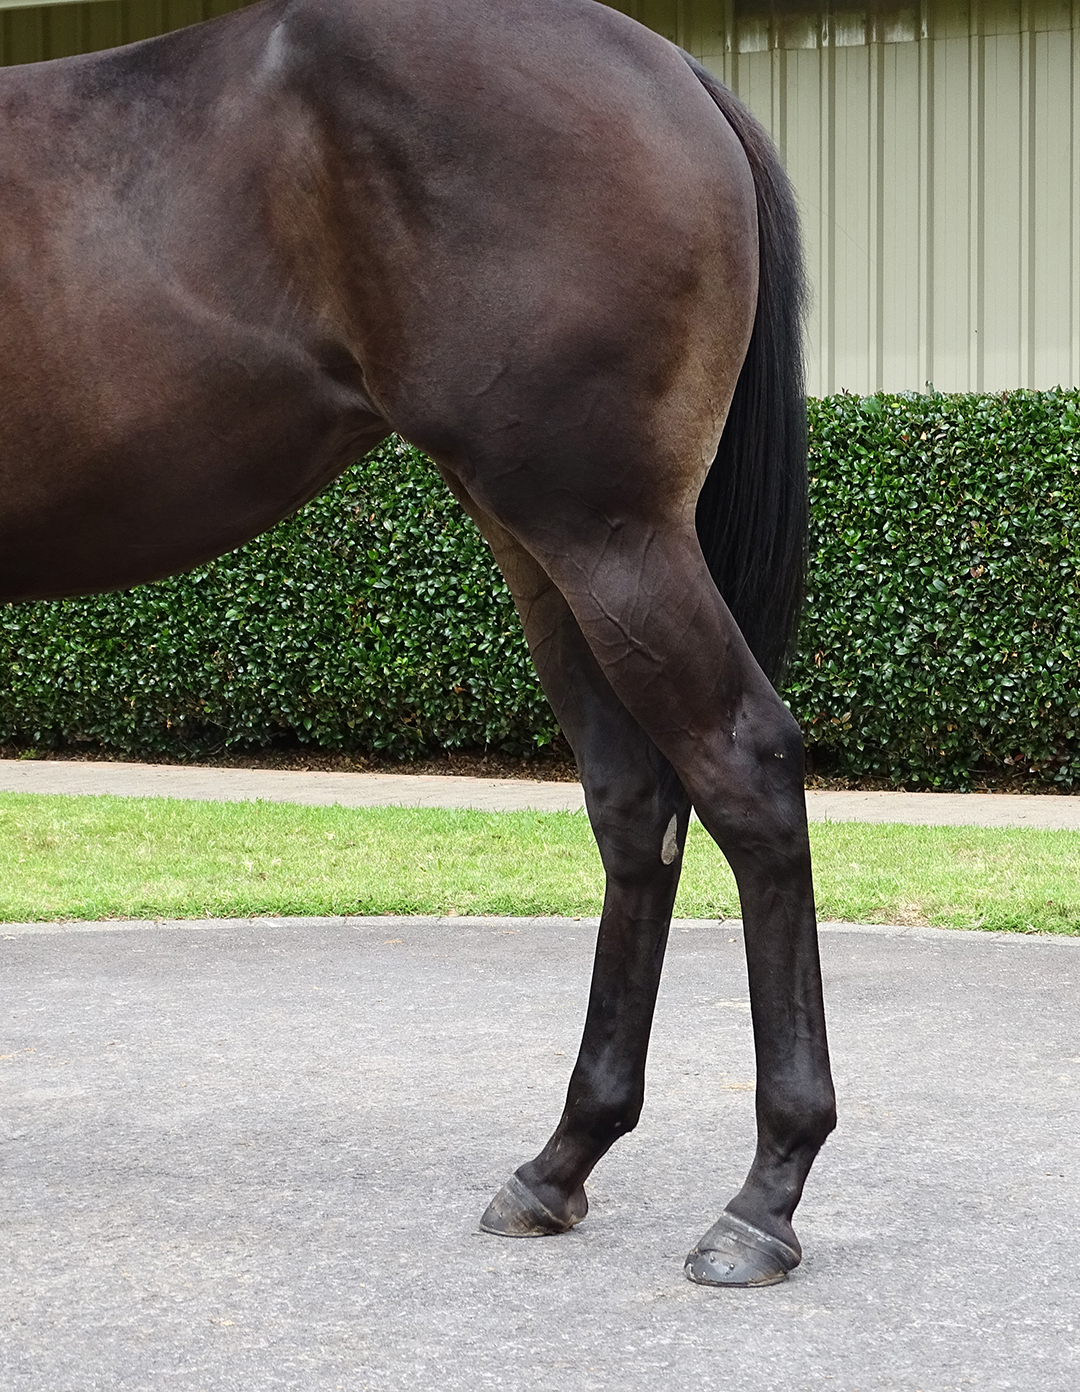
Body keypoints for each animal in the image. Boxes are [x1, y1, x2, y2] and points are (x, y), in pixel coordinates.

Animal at [0, 0, 836, 1286]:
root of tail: (672, 71)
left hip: (606, 529)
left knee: (741, 765)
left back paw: (763, 1200)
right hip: (546, 546)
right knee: (635, 804)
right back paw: (559, 1164)